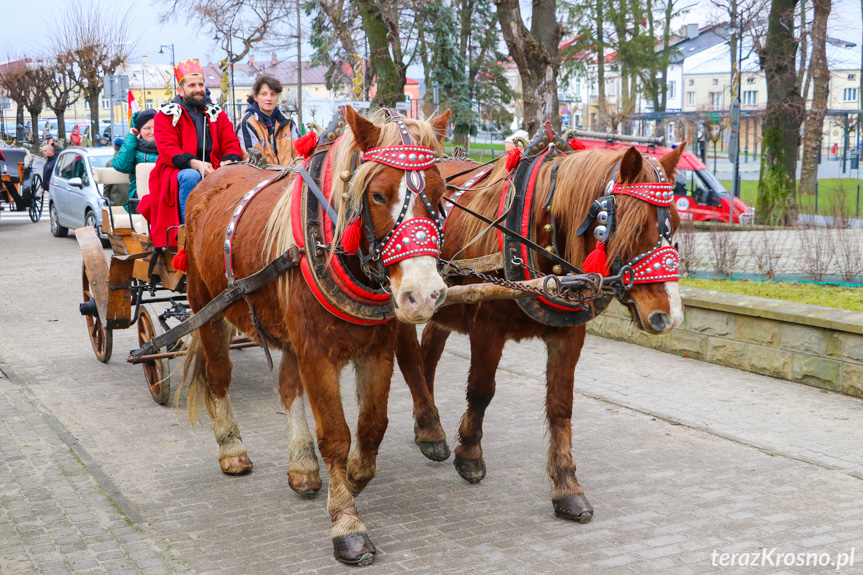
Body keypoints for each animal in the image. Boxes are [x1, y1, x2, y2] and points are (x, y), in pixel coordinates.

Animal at [181, 106, 452, 564]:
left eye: (441, 192)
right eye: (378, 196)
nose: (423, 295)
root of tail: (215, 174)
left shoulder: (375, 350)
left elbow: (372, 425)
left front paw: (355, 477)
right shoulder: (317, 355)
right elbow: (337, 436)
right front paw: (347, 523)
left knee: (289, 387)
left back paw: (303, 465)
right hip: (209, 311)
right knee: (218, 378)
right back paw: (232, 450)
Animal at [398, 143, 688, 520]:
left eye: (677, 223)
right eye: (636, 225)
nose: (669, 316)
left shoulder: (570, 336)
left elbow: (560, 405)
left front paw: (566, 485)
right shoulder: (487, 329)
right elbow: (481, 391)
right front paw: (470, 454)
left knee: (428, 355)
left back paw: (427, 428)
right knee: (412, 358)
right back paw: (430, 430)